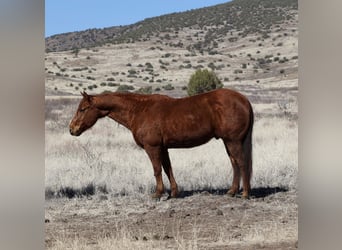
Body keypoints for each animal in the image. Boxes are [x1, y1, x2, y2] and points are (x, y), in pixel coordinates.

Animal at [69, 89, 252, 198]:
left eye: (83, 109)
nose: (72, 129)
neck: (139, 110)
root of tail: (243, 99)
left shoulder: (153, 148)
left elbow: (157, 170)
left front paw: (158, 193)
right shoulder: (163, 148)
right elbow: (167, 168)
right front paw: (174, 193)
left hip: (233, 141)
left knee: (242, 163)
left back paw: (245, 193)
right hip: (228, 142)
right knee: (234, 163)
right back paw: (232, 191)